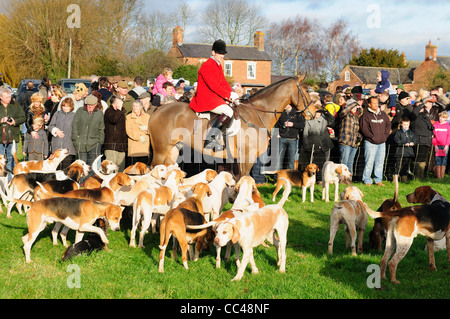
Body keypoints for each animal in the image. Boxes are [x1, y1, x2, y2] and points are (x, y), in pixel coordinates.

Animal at [148, 74, 316, 178]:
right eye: (306, 90)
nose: (314, 113)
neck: (256, 115)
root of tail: (157, 111)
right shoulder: (247, 157)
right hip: (161, 151)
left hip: (172, 151)